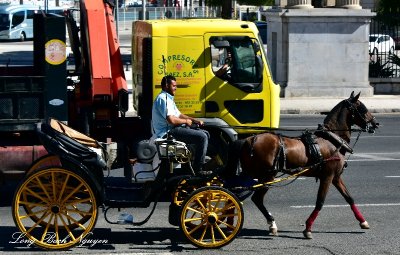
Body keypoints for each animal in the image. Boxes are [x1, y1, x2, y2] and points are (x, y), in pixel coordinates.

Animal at [225, 91, 378, 239]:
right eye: (362, 108)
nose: (375, 124)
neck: (332, 140)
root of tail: (248, 140)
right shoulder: (327, 177)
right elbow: (320, 202)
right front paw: (308, 228)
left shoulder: (335, 177)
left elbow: (349, 198)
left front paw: (363, 221)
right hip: (266, 176)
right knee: (253, 198)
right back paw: (268, 224)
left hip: (253, 175)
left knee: (234, 195)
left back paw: (230, 223)